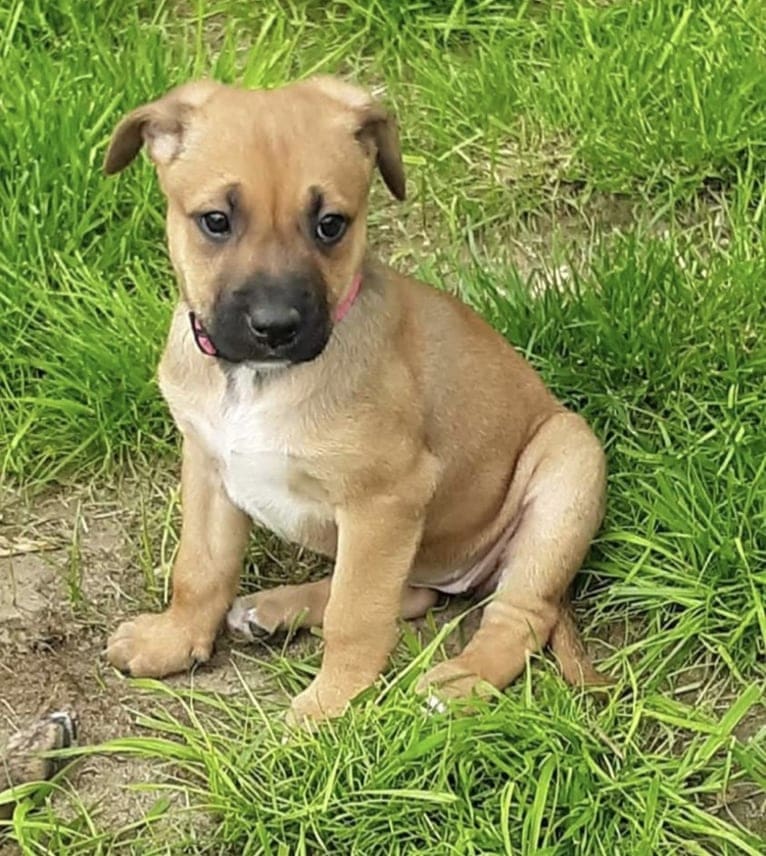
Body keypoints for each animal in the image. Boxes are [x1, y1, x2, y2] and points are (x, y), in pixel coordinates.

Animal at [103, 77, 608, 724]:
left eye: (331, 225)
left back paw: (460, 681)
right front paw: (173, 638)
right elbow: (200, 567)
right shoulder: (207, 465)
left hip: (568, 471)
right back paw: (275, 610)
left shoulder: (386, 498)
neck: (258, 379)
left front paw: (330, 706)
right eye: (215, 221)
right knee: (411, 594)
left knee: (518, 615)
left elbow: (357, 613)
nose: (275, 326)